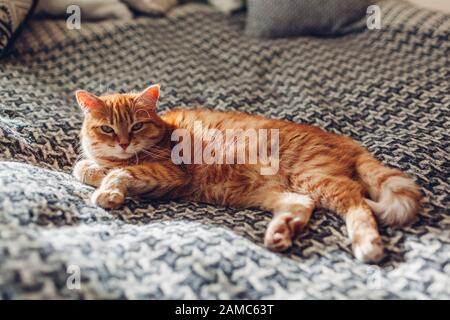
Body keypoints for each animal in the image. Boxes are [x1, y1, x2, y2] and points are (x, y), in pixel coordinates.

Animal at [73, 84, 422, 262]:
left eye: (136, 126)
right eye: (107, 129)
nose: (123, 143)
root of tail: (346, 140)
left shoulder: (171, 173)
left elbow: (119, 173)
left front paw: (109, 190)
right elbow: (85, 168)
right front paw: (96, 170)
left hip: (315, 178)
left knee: (356, 202)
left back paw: (367, 245)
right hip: (271, 191)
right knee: (301, 204)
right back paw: (280, 233)